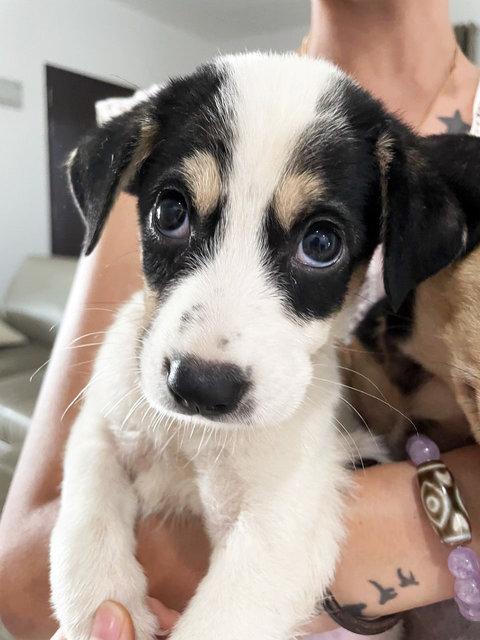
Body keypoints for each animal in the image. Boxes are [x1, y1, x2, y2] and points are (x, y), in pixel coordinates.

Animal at [49, 55, 472, 640]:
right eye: (169, 213)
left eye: (321, 243)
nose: (200, 386)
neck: (197, 439)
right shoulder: (104, 426)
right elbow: (85, 510)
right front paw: (101, 605)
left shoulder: (283, 523)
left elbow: (217, 623)